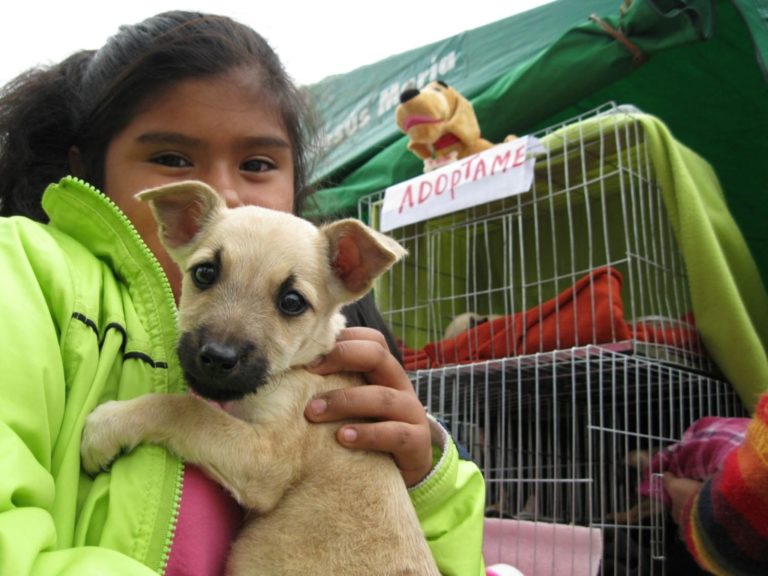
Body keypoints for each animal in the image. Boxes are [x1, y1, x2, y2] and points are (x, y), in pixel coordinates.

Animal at [79, 181, 438, 576]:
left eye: (292, 302)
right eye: (204, 273)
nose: (217, 358)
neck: (301, 367)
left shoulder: (268, 457)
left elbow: (186, 409)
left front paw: (107, 426)